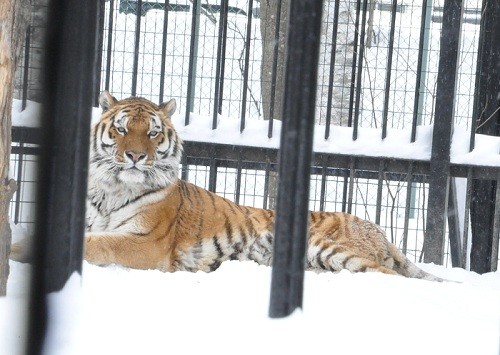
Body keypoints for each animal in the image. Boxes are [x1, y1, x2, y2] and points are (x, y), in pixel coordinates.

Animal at [11, 92, 442, 284]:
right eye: (121, 129)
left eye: (151, 133)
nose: (134, 156)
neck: (111, 188)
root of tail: (380, 231)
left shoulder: (144, 242)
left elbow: (97, 244)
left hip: (329, 247)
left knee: (386, 277)